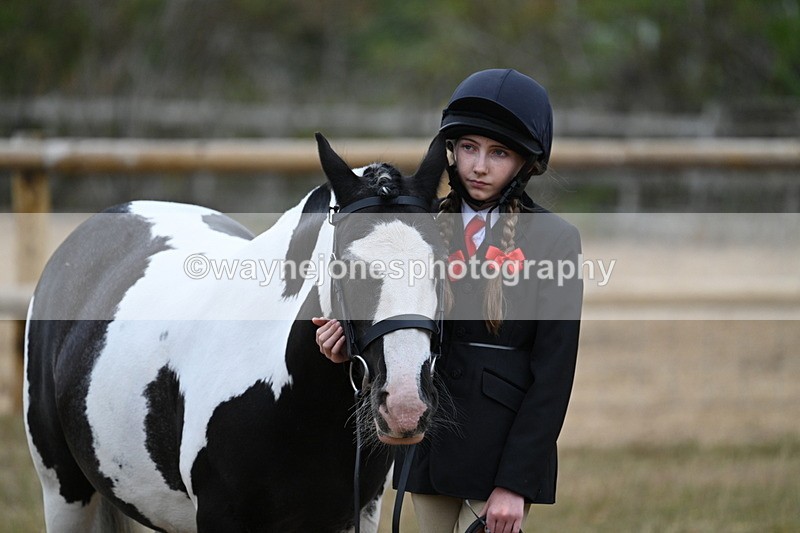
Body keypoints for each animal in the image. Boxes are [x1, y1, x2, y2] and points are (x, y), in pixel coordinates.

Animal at [23, 133, 446, 532]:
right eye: (347, 265)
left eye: (442, 263)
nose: (405, 406)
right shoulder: (218, 516)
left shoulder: (355, 514)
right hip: (63, 493)